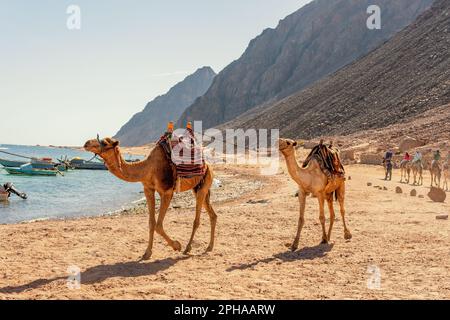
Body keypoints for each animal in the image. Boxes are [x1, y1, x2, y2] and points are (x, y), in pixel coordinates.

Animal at [85, 136, 218, 260]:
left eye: (105, 143)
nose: (86, 143)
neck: (148, 168)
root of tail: (208, 165)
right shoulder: (148, 189)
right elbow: (151, 223)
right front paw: (147, 253)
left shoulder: (167, 192)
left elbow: (158, 225)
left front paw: (177, 245)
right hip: (198, 188)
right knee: (213, 215)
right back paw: (209, 247)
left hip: (204, 185)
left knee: (197, 220)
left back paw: (188, 248)